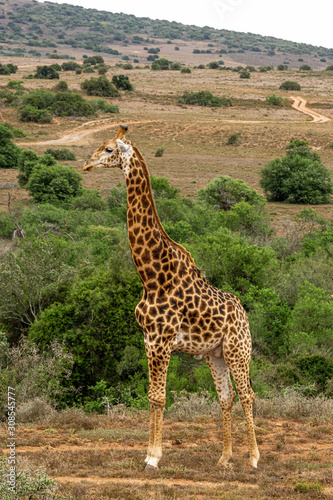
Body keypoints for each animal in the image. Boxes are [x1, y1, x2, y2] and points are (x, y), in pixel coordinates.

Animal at [83, 124, 260, 468]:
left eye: (109, 149)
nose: (86, 164)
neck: (151, 275)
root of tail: (243, 313)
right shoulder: (148, 339)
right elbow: (152, 396)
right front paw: (149, 453)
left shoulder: (161, 340)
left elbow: (159, 396)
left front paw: (153, 456)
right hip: (215, 354)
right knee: (226, 396)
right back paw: (224, 458)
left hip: (238, 349)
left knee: (247, 394)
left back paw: (254, 458)